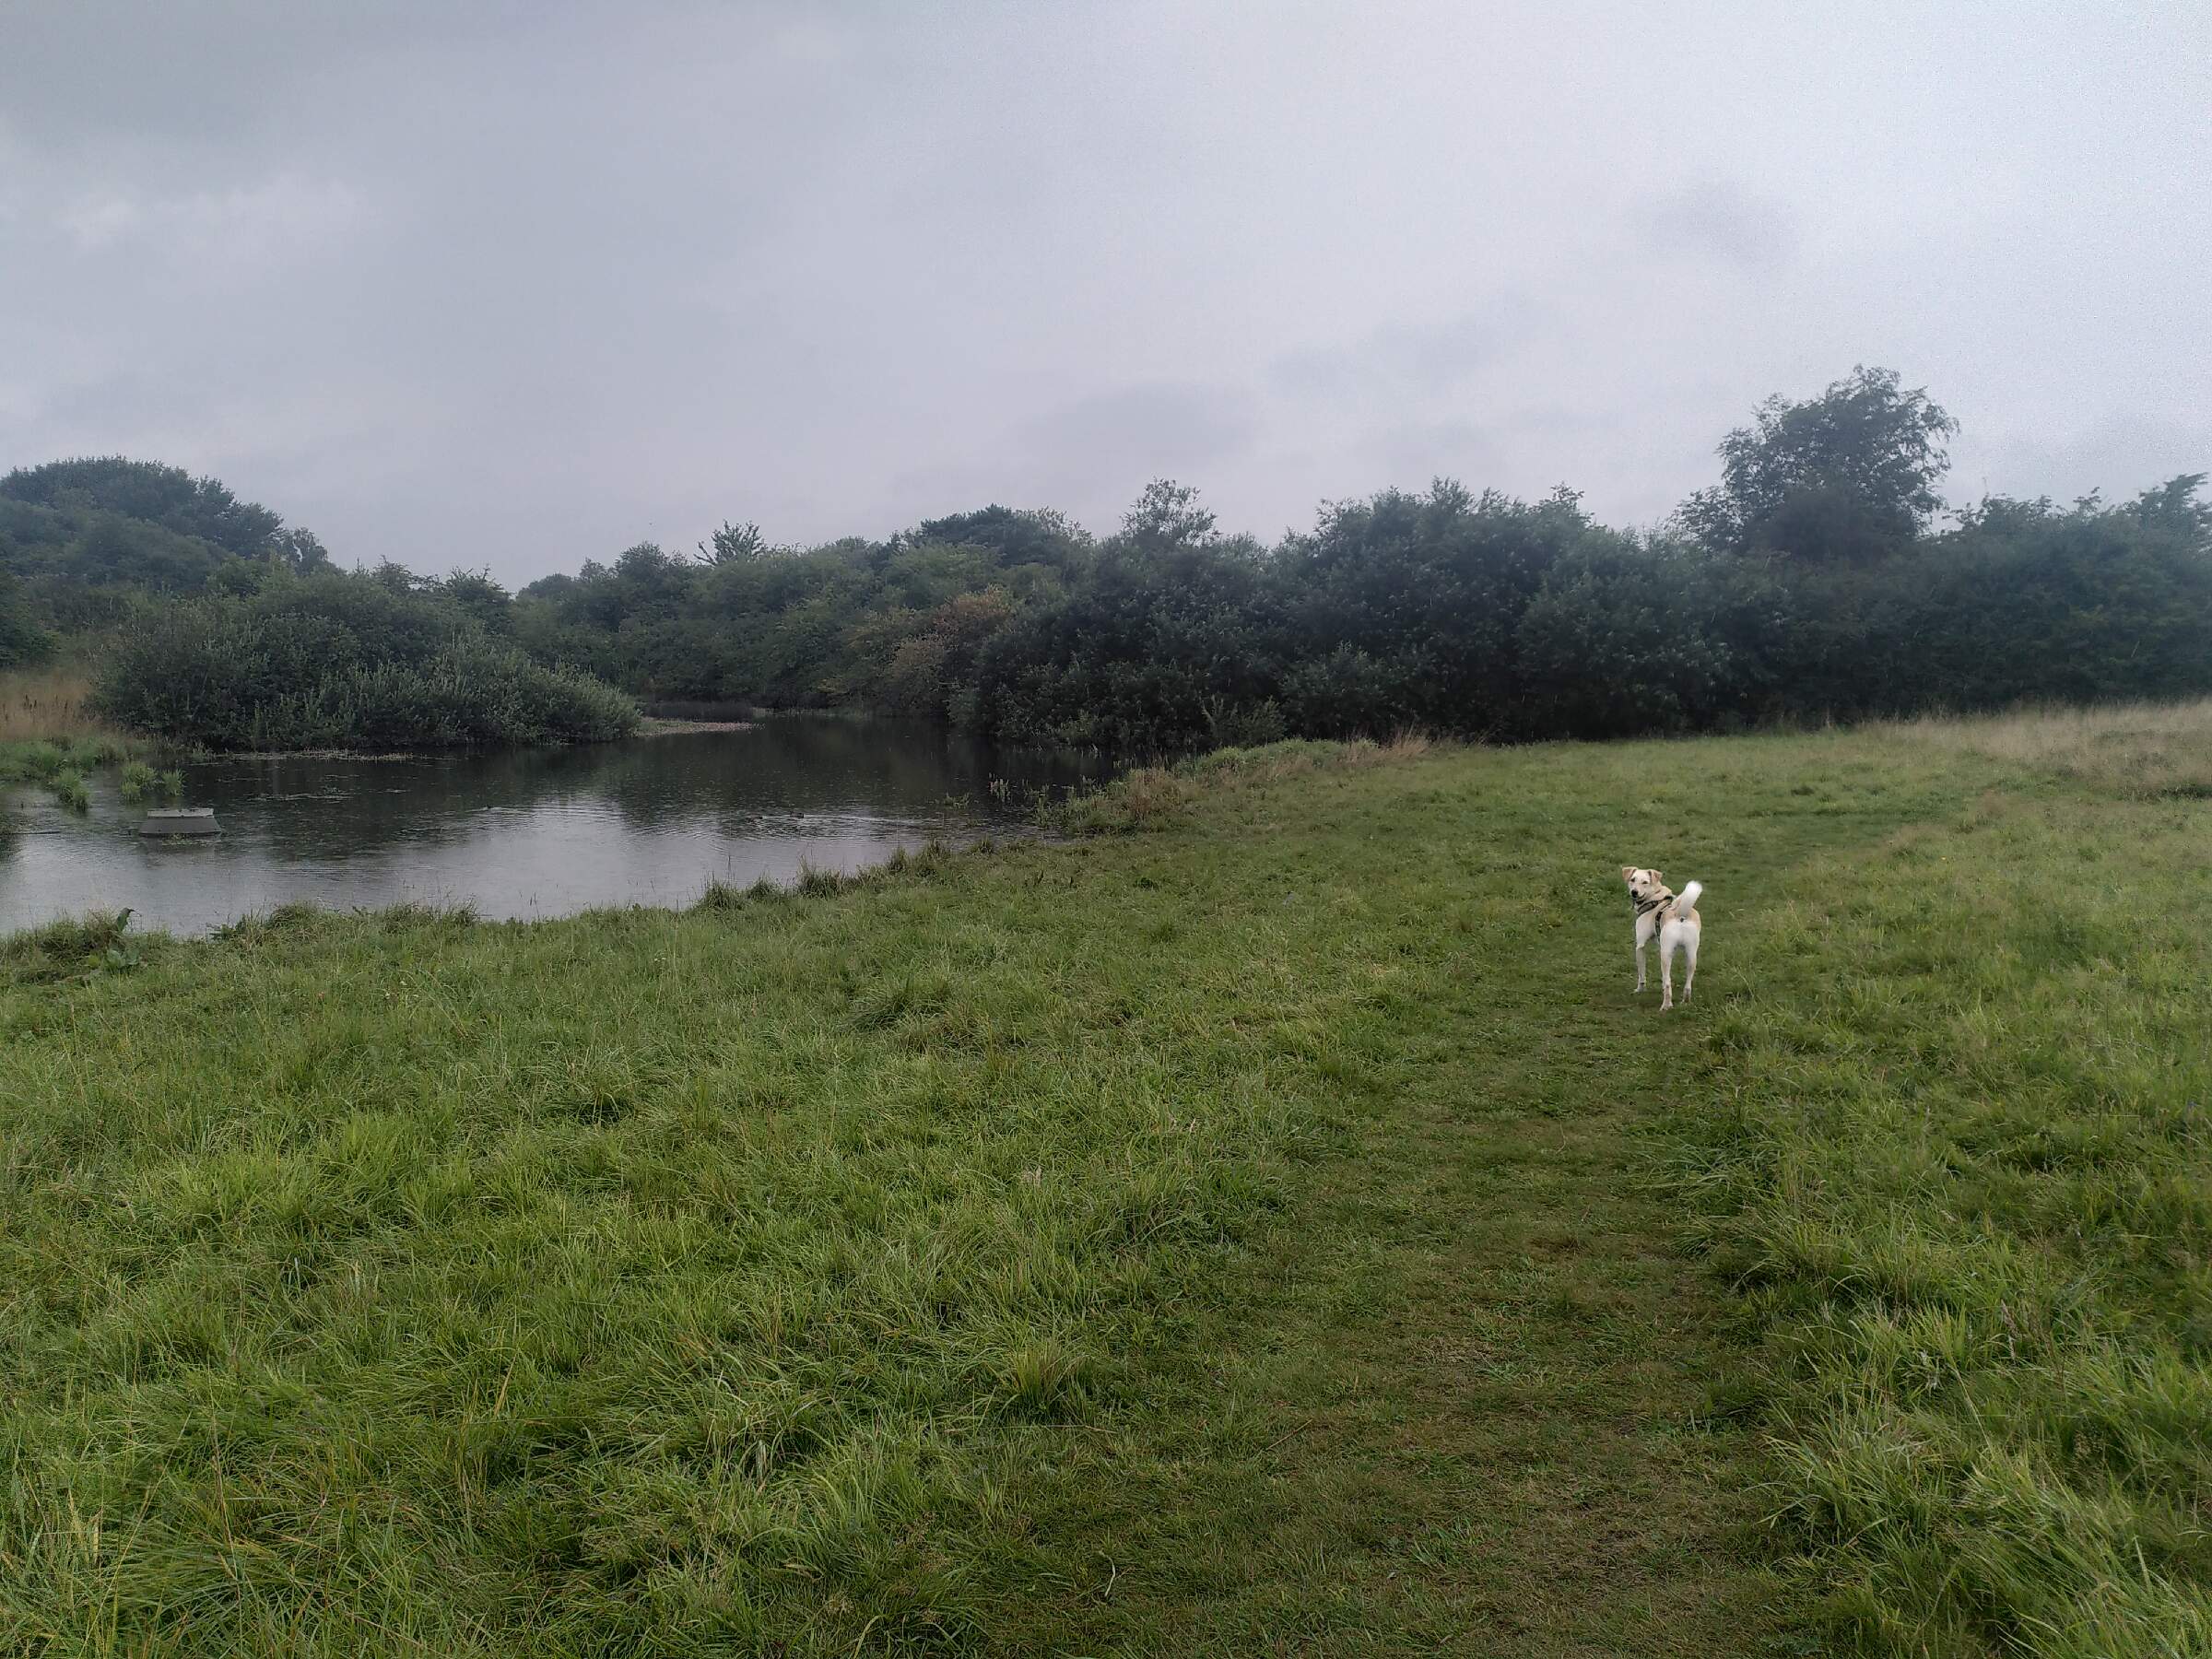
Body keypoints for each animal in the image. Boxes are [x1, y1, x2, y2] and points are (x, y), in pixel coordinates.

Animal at [1621, 867, 1702, 1011]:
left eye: (1645, 882)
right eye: (1632, 879)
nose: (1634, 892)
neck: (1655, 896)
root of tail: (1681, 914)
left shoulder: (1640, 947)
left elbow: (1642, 974)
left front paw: (1639, 990)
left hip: (1665, 955)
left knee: (1669, 983)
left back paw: (1666, 1006)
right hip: (1691, 955)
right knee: (1687, 985)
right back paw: (1685, 1002)